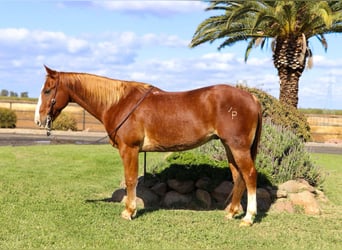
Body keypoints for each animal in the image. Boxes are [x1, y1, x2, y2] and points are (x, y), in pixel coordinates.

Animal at [35, 66, 262, 227]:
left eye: (47, 90)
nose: (39, 120)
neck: (119, 102)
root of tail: (251, 97)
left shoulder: (130, 149)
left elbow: (130, 179)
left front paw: (129, 212)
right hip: (229, 146)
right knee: (238, 176)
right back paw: (231, 212)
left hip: (238, 147)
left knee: (249, 174)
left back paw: (248, 217)